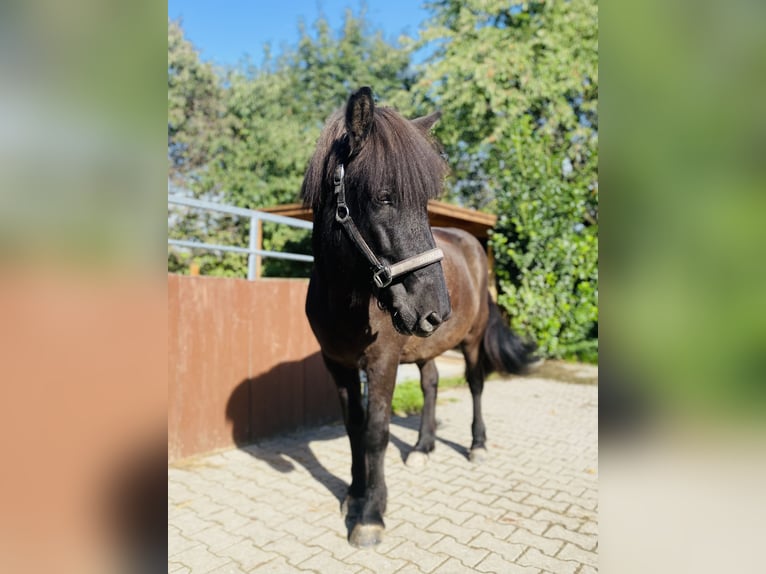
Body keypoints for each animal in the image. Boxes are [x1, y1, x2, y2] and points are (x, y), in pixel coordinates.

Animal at [304, 86, 536, 548]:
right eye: (384, 197)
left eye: (425, 203)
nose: (437, 309)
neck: (344, 302)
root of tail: (473, 243)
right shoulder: (337, 365)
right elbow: (354, 429)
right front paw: (354, 494)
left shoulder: (382, 363)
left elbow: (376, 433)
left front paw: (370, 514)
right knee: (431, 383)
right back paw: (423, 447)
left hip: (470, 341)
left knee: (475, 384)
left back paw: (477, 445)